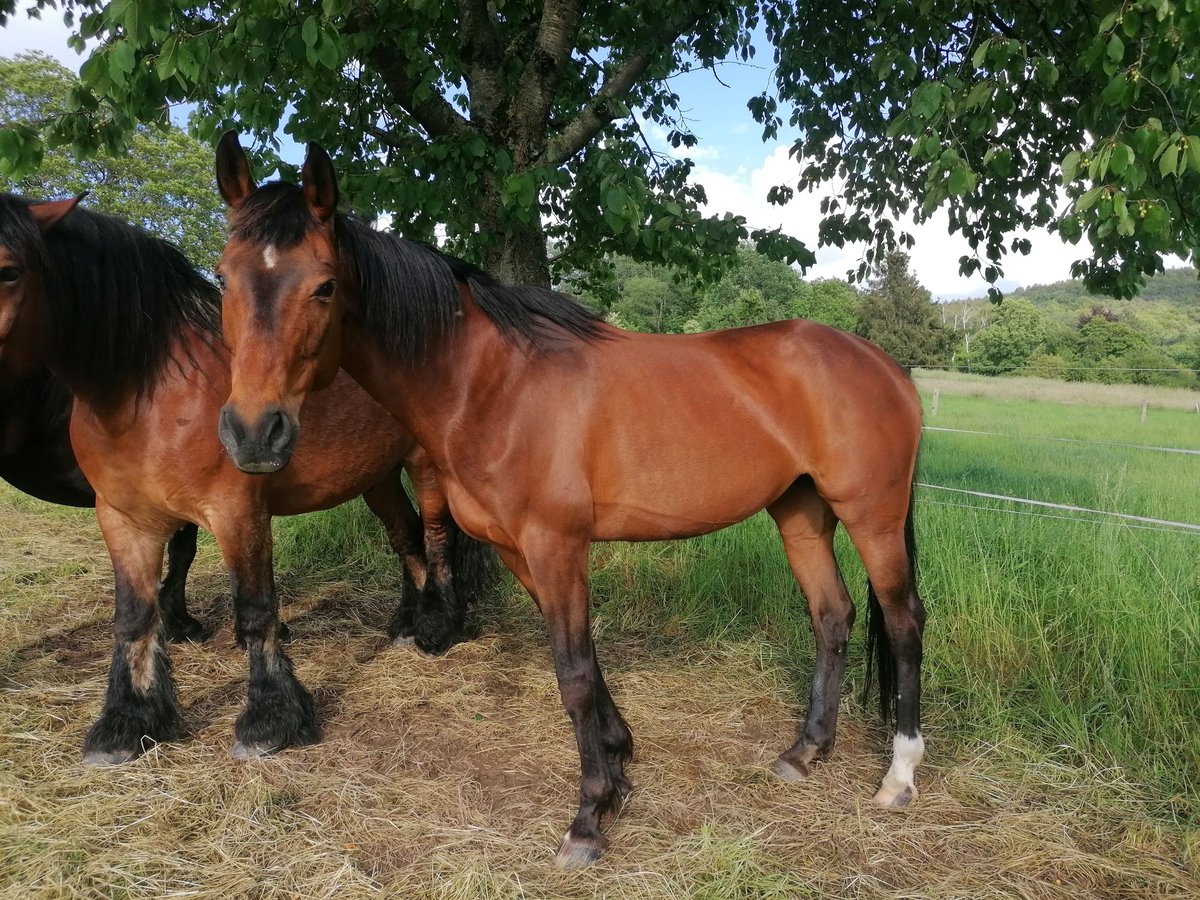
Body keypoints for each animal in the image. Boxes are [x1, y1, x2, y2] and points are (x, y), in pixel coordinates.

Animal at [0, 192, 492, 768]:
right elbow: (134, 616)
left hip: (424, 465)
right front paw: (126, 724)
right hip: (378, 478)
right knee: (406, 536)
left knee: (435, 537)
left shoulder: (236, 512)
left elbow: (256, 611)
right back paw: (406, 623)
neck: (151, 388)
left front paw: (269, 721)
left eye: (9, 271)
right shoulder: (124, 518)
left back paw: (439, 628)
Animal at [216, 137, 926, 868]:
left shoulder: (557, 545)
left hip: (872, 516)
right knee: (833, 617)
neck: (492, 385)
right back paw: (806, 751)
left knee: (904, 622)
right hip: (800, 513)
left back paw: (898, 776)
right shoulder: (520, 551)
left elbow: (575, 673)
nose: (254, 432)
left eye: (324, 285)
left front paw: (588, 816)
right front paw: (617, 764)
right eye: (222, 277)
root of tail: (884, 363)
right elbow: (585, 663)